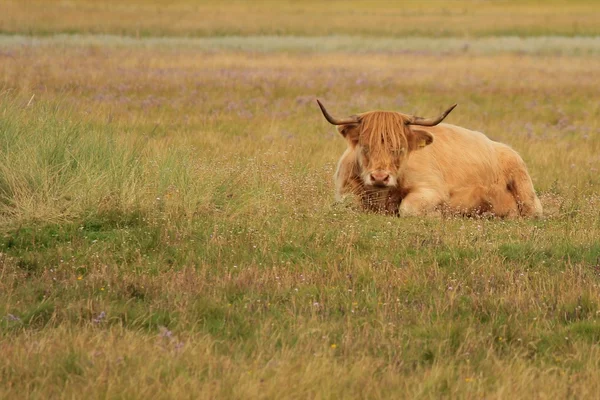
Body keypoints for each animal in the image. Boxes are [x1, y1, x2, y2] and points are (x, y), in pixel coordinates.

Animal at [318, 100, 544, 219]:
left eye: (399, 148)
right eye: (365, 146)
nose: (380, 177)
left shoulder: (431, 190)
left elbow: (407, 208)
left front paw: (437, 214)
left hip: (527, 194)